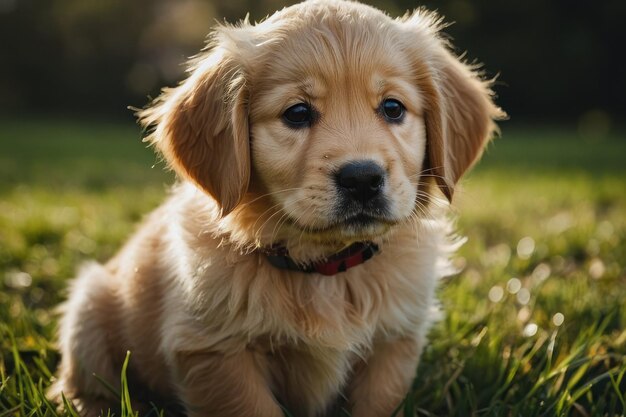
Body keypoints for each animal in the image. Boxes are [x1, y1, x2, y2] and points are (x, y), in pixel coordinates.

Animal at [47, 0, 502, 416]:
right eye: (297, 113)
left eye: (393, 108)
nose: (362, 178)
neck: (325, 269)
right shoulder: (216, 352)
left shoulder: (394, 345)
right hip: (88, 307)